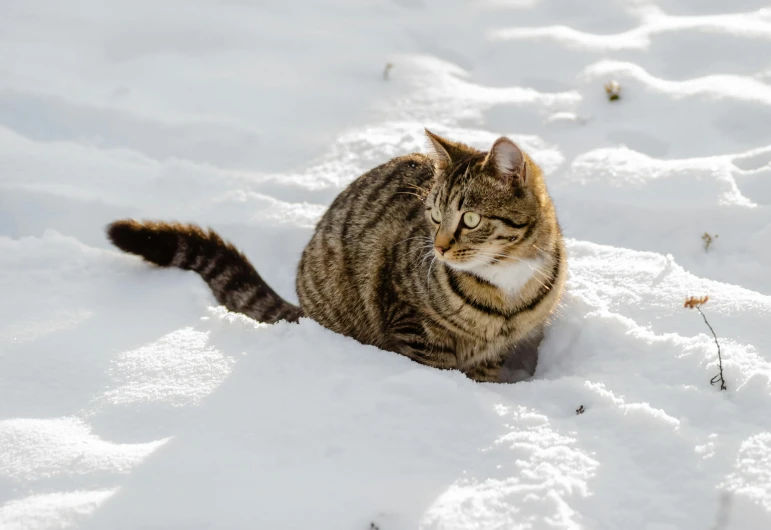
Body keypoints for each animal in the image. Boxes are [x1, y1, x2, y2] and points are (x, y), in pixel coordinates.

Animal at [107, 130, 568, 382]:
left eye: (469, 218)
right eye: (434, 215)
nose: (438, 247)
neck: (505, 283)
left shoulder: (497, 350)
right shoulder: (412, 325)